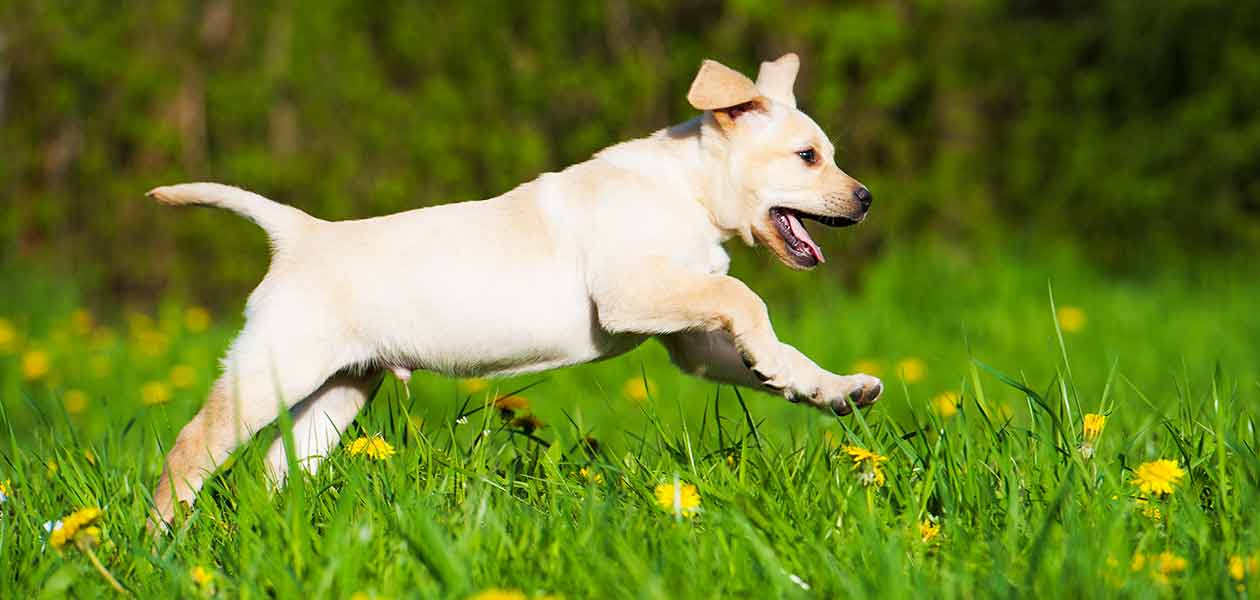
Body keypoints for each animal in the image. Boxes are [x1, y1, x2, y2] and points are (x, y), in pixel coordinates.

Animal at [149, 55, 876, 524]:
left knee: (279, 464)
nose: (866, 198)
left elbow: (762, 339)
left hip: (342, 386)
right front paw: (773, 356)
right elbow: (745, 299)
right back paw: (163, 546)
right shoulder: (632, 293)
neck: (687, 188)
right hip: (270, 369)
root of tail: (298, 233)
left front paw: (828, 387)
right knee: (189, 452)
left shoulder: (691, 340)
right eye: (808, 157)